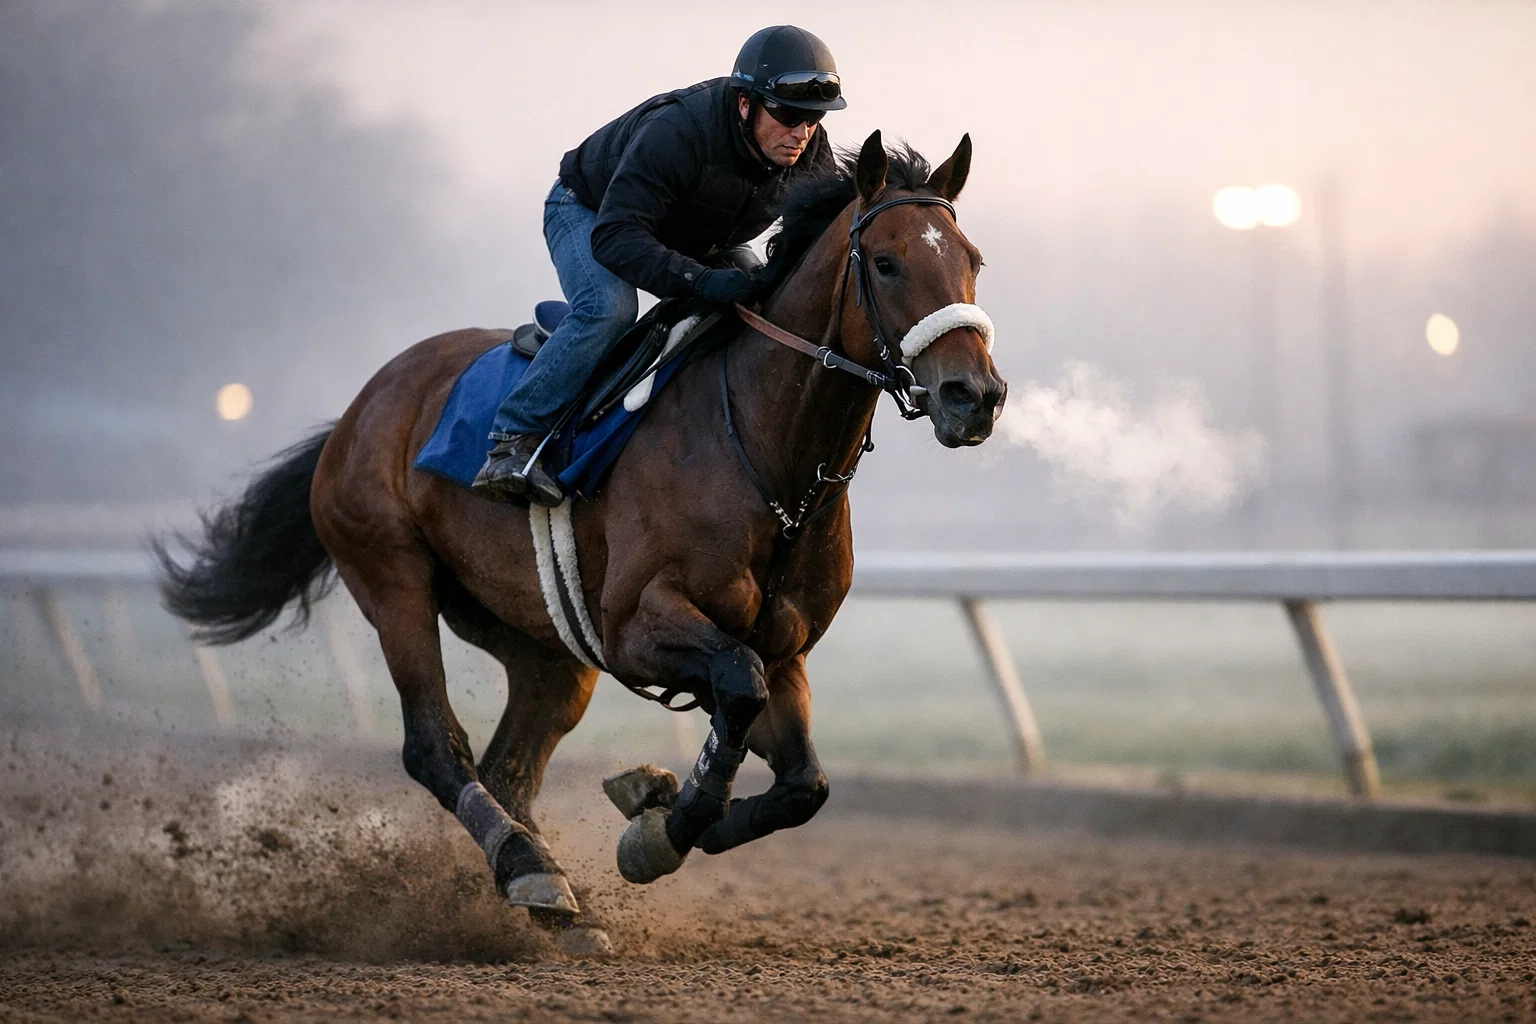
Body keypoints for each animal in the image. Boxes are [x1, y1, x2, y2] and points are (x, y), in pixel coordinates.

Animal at [157, 130, 1007, 954]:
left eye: (972, 260)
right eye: (887, 261)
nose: (976, 396)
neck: (769, 457)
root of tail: (361, 406)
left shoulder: (783, 649)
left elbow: (804, 783)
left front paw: (660, 811)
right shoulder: (637, 627)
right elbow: (735, 689)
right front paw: (660, 826)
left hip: (545, 645)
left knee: (509, 767)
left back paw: (556, 897)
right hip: (391, 576)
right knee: (435, 746)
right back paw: (530, 872)